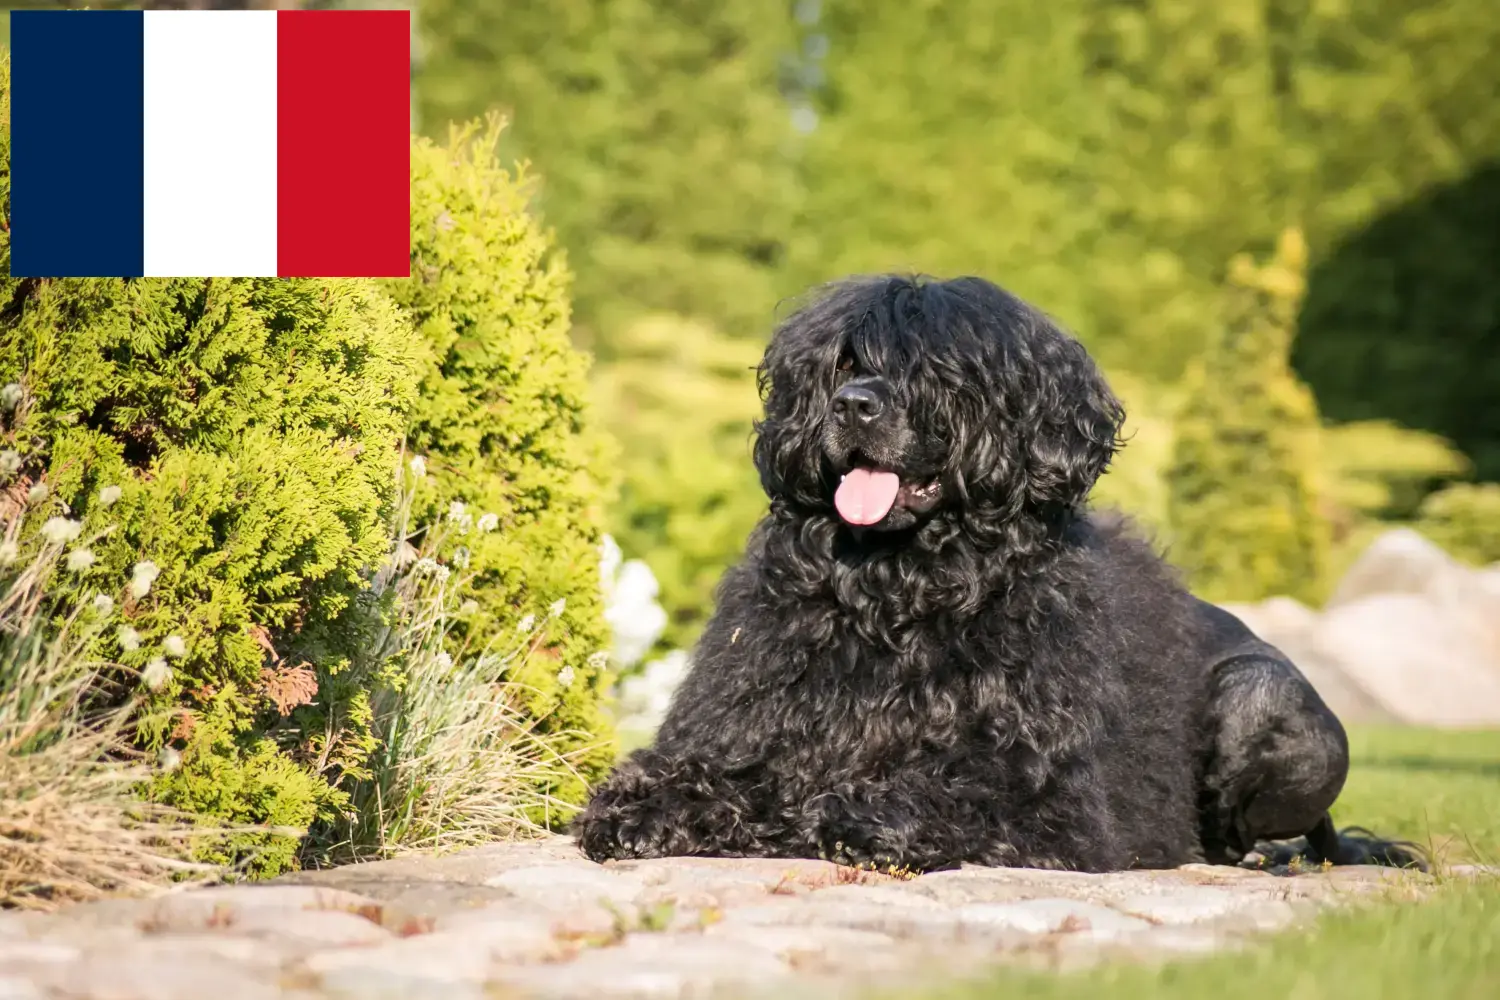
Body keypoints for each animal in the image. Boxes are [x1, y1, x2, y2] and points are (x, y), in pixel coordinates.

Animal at [573, 275, 1416, 875]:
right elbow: (710, 774)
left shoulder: (1048, 801)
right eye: (843, 363)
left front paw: (855, 816)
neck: (900, 591)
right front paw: (651, 809)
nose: (852, 405)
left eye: (936, 372)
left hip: (1262, 697)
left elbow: (938, 792)